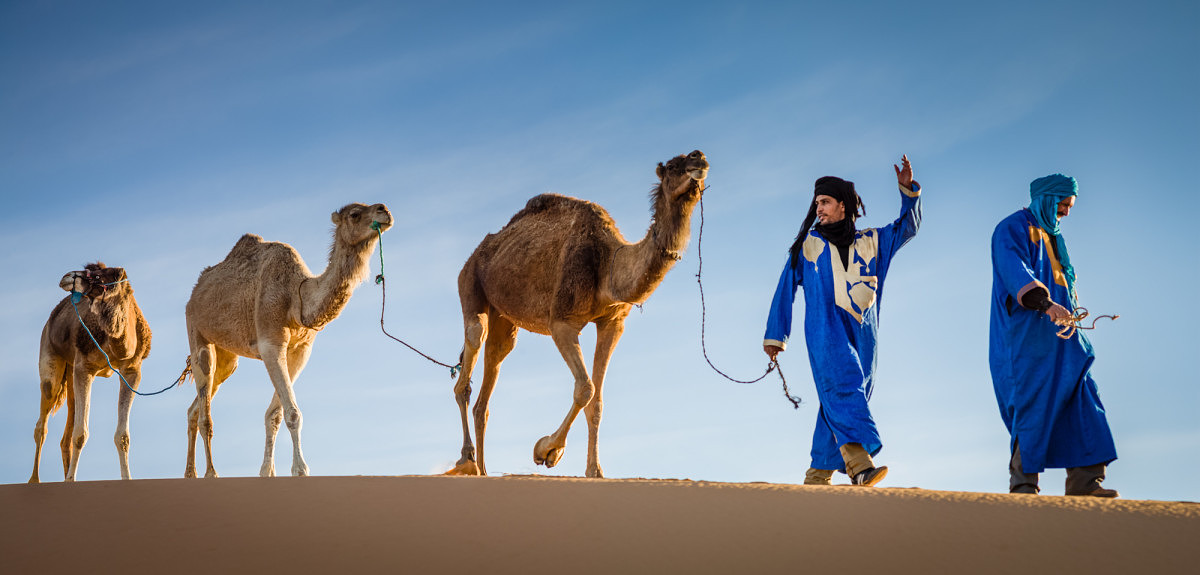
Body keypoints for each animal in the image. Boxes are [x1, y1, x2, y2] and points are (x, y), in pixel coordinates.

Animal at [30, 262, 151, 484]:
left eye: (97, 275)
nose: (67, 276)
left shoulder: (132, 371)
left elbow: (122, 436)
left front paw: (127, 478)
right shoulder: (84, 367)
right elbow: (80, 434)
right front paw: (71, 480)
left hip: (70, 372)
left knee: (65, 435)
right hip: (50, 354)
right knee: (42, 424)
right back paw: (34, 481)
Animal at [184, 202, 393, 477]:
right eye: (354, 214)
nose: (384, 210)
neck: (297, 297)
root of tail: (194, 294)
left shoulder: (301, 350)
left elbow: (274, 414)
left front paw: (268, 472)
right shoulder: (270, 344)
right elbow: (292, 413)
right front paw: (301, 470)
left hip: (228, 358)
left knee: (195, 408)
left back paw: (190, 474)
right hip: (197, 333)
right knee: (205, 412)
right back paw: (211, 474)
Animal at [451, 150, 710, 480]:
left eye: (696, 156)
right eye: (674, 165)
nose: (699, 159)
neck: (608, 266)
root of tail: (475, 255)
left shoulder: (612, 323)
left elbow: (596, 401)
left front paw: (594, 470)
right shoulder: (562, 322)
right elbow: (585, 389)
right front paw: (546, 451)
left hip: (504, 319)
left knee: (490, 380)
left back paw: (483, 470)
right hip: (471, 285)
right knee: (470, 355)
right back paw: (466, 459)